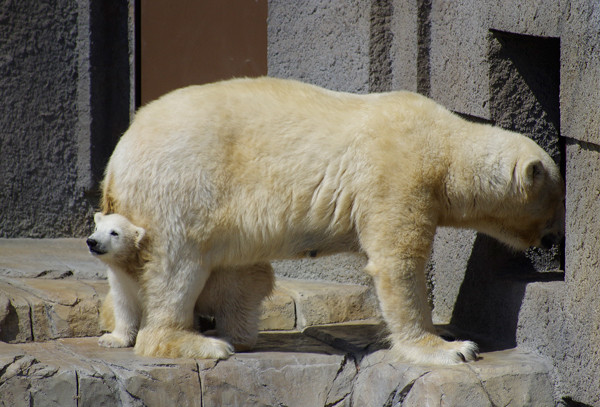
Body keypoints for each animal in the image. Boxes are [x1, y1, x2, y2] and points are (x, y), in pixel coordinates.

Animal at [86, 212, 274, 356]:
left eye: (114, 233)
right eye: (96, 228)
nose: (92, 241)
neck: (134, 263)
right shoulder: (122, 280)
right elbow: (125, 305)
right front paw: (112, 339)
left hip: (235, 279)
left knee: (236, 308)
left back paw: (231, 340)